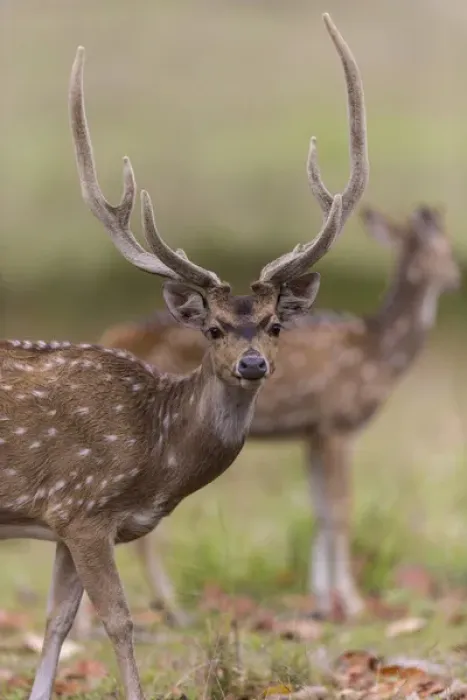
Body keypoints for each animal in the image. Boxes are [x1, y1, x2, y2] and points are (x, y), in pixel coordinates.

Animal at [0, 12, 369, 700]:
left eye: (275, 324)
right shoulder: (83, 506)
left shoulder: (64, 522)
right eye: (214, 329)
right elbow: (119, 621)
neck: (157, 451)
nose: (253, 364)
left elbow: (57, 623)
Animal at [72, 203, 461, 639]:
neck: (377, 355)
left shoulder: (311, 432)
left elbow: (319, 509)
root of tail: (113, 335)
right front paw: (353, 604)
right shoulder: (337, 423)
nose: (456, 277)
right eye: (444, 250)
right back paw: (157, 613)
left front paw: (322, 603)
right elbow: (340, 508)